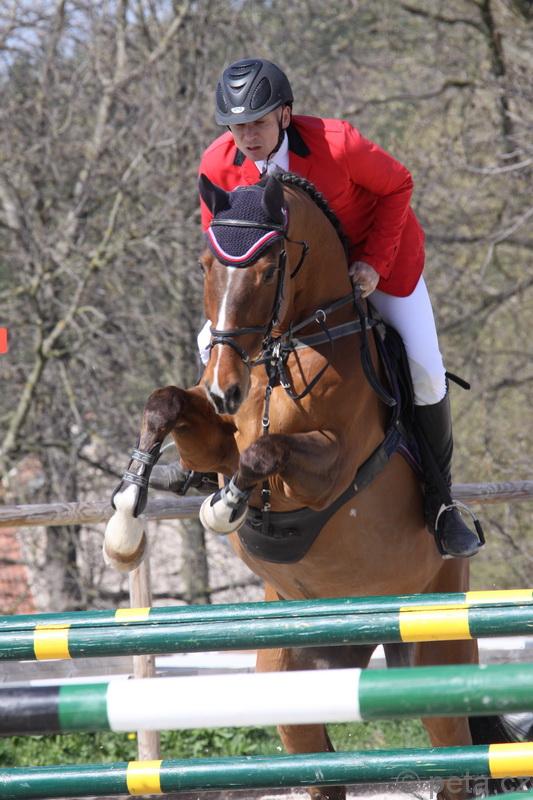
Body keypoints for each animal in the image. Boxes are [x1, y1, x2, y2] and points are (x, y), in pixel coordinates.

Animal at [105, 172, 510, 800]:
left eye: (269, 268)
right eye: (206, 264)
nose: (223, 387)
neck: (288, 346)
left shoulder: (327, 468)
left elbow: (264, 453)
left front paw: (225, 507)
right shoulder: (215, 441)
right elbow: (166, 404)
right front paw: (125, 523)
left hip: (436, 654)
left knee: (456, 766)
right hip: (299, 679)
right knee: (321, 770)